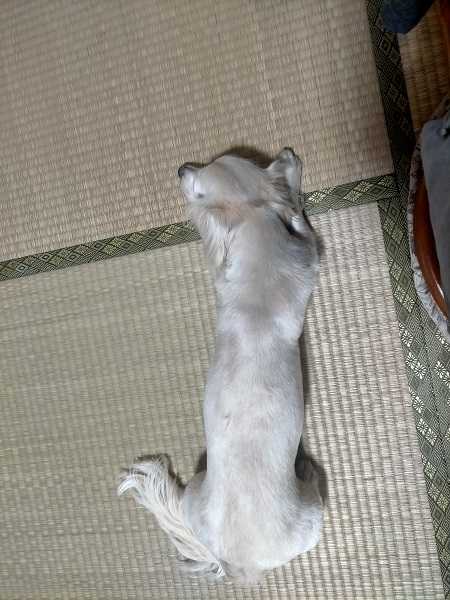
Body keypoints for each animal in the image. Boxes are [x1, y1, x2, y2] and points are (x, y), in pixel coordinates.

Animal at [118, 148, 323, 583]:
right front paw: (296, 203)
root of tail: (236, 563)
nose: (180, 168)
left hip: (197, 489)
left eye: (198, 184)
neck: (253, 223)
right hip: (312, 518)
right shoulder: (308, 260)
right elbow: (308, 237)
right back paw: (311, 473)